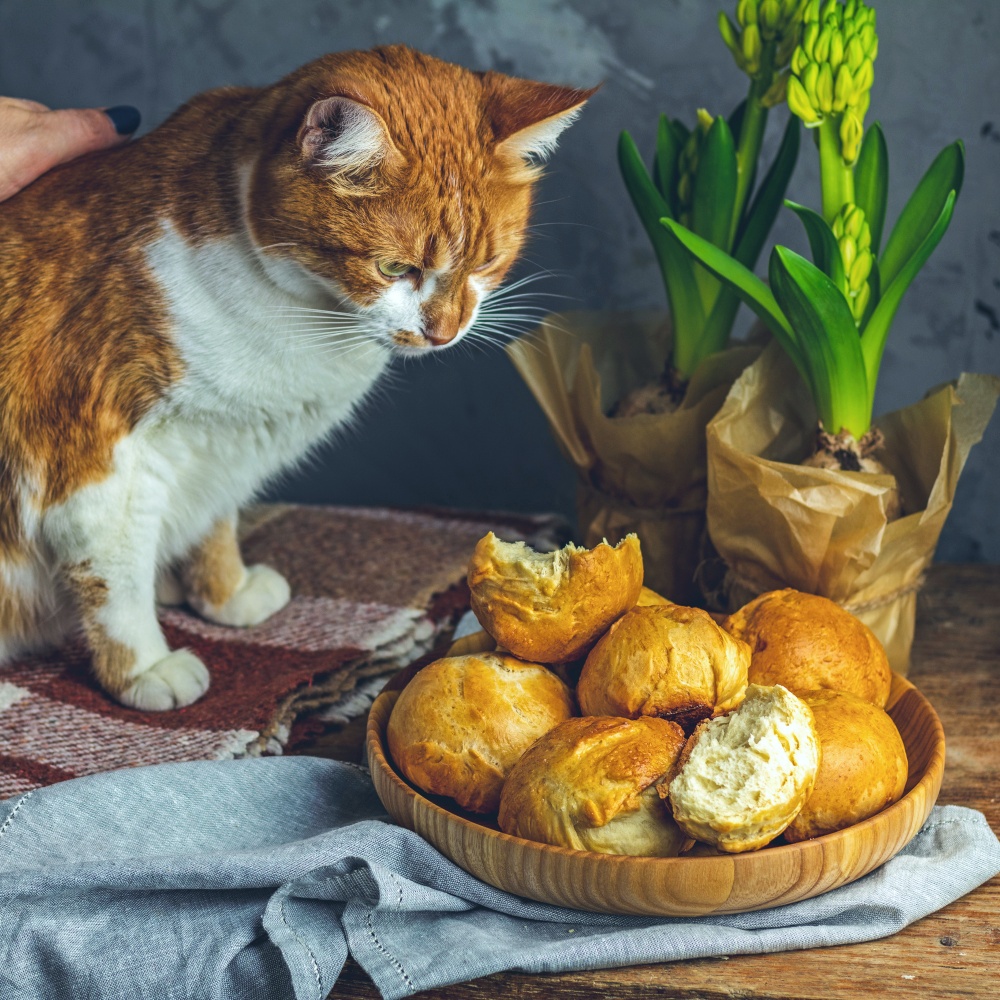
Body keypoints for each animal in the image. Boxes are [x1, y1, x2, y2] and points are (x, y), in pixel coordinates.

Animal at [0, 45, 592, 712]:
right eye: (395, 268)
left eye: (487, 263)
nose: (444, 332)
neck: (301, 321)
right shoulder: (95, 465)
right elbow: (116, 583)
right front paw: (144, 666)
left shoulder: (221, 443)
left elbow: (214, 523)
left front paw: (224, 592)